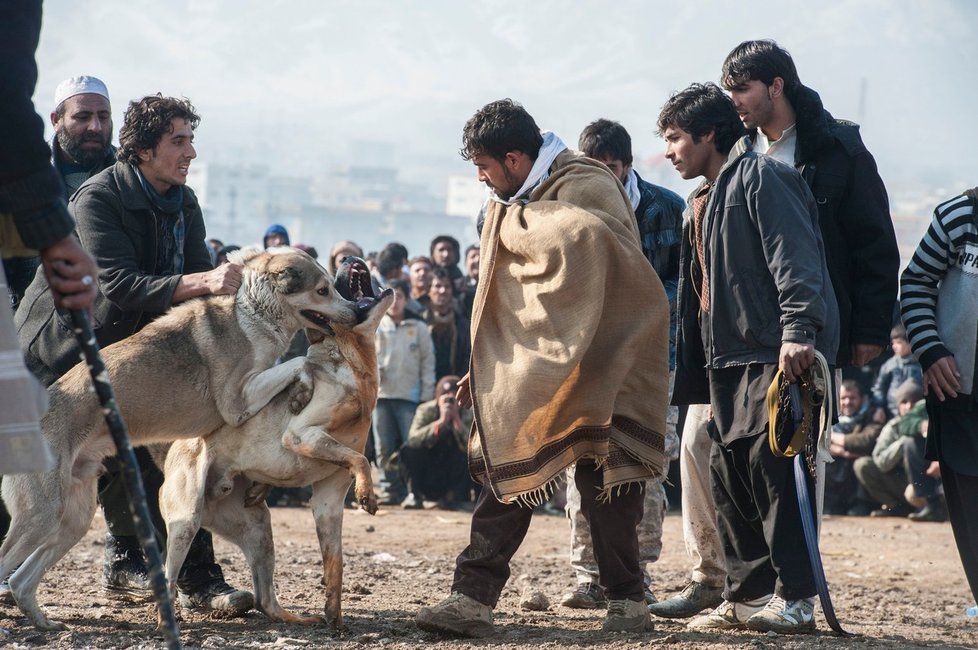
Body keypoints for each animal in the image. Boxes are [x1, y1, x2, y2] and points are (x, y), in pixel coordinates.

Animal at [0, 247, 362, 628]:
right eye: (322, 290)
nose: (356, 312)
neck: (252, 313)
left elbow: (297, 366)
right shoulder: (237, 402)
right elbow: (299, 364)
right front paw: (302, 387)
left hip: (72, 519)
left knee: (23, 579)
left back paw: (43, 621)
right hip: (42, 514)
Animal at [156, 256, 388, 628]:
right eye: (331, 288)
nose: (350, 257)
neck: (354, 367)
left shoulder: (328, 500)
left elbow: (335, 562)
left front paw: (334, 618)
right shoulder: (302, 434)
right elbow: (360, 459)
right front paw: (367, 494)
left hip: (259, 531)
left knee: (265, 600)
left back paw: (297, 618)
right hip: (185, 523)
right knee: (169, 578)